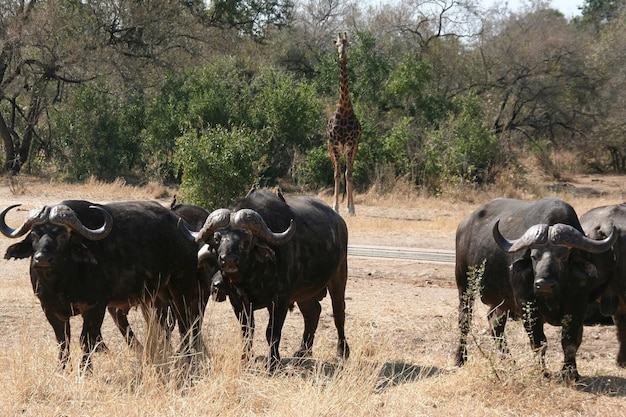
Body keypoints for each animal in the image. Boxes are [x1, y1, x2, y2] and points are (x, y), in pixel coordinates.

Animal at [1, 199, 208, 370]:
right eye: (35, 234)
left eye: (63, 235)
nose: (42, 258)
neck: (61, 283)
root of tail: (182, 228)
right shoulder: (50, 309)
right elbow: (63, 341)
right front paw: (62, 369)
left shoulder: (95, 307)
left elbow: (86, 340)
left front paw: (85, 371)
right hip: (156, 297)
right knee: (164, 326)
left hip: (181, 287)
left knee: (186, 323)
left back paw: (188, 357)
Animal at [450, 197, 616, 378]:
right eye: (534, 255)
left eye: (563, 255)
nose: (543, 284)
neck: (554, 295)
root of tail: (464, 225)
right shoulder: (527, 306)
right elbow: (539, 342)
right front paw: (542, 372)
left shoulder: (578, 306)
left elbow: (571, 342)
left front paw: (570, 373)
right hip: (464, 285)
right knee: (465, 320)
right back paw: (460, 359)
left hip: (503, 301)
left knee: (494, 322)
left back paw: (509, 362)